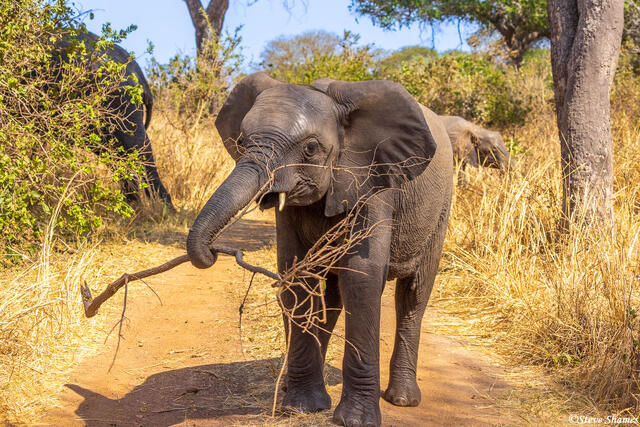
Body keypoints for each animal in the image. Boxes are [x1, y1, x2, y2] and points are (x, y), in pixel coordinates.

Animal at [186, 73, 453, 426]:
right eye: (242, 141)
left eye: (311, 148)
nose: (214, 250)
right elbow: (297, 273)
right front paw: (301, 407)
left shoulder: (373, 180)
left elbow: (362, 277)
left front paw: (353, 421)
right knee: (331, 297)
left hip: (440, 210)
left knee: (413, 296)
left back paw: (403, 399)